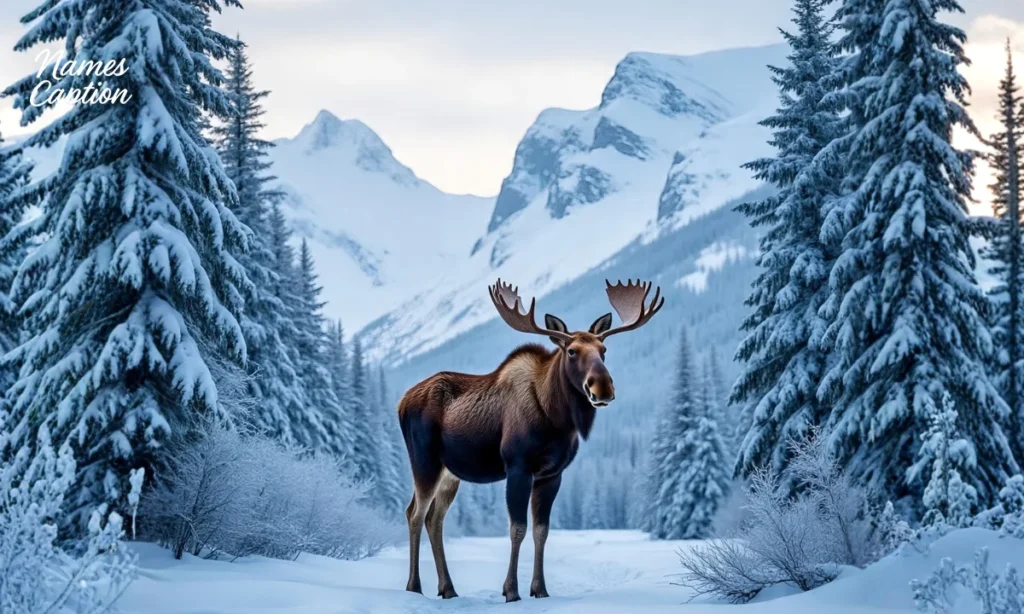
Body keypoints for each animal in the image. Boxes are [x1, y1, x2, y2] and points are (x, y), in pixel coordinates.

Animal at [397, 278, 664, 602]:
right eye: (571, 351)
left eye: (604, 349)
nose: (602, 387)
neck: (558, 420)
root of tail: (401, 402)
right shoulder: (518, 467)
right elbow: (518, 528)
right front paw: (511, 590)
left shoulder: (552, 474)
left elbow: (541, 531)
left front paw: (540, 589)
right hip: (424, 462)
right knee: (414, 513)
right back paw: (414, 586)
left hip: (450, 473)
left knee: (434, 518)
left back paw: (447, 588)